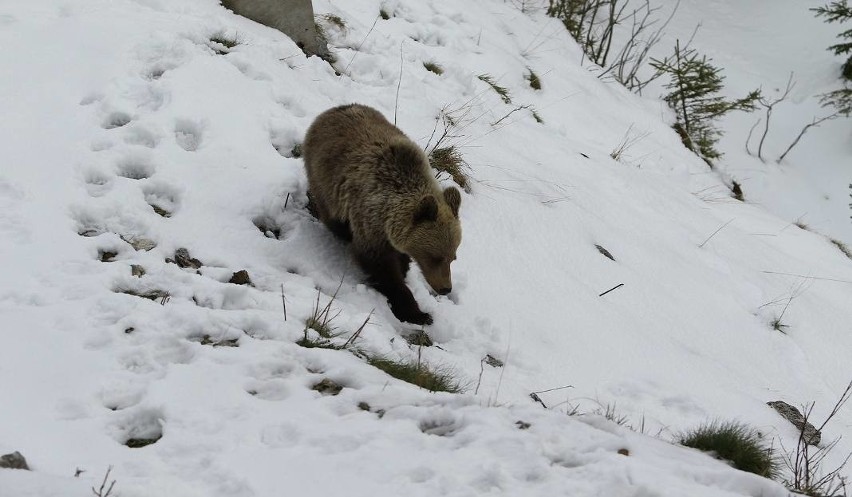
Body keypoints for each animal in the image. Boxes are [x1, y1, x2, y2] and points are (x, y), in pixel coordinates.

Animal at [300, 102, 460, 324]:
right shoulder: (370, 221)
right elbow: (380, 267)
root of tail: (334, 109)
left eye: (453, 257)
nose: (446, 288)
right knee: (332, 217)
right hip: (323, 177)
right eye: (434, 257)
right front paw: (418, 313)